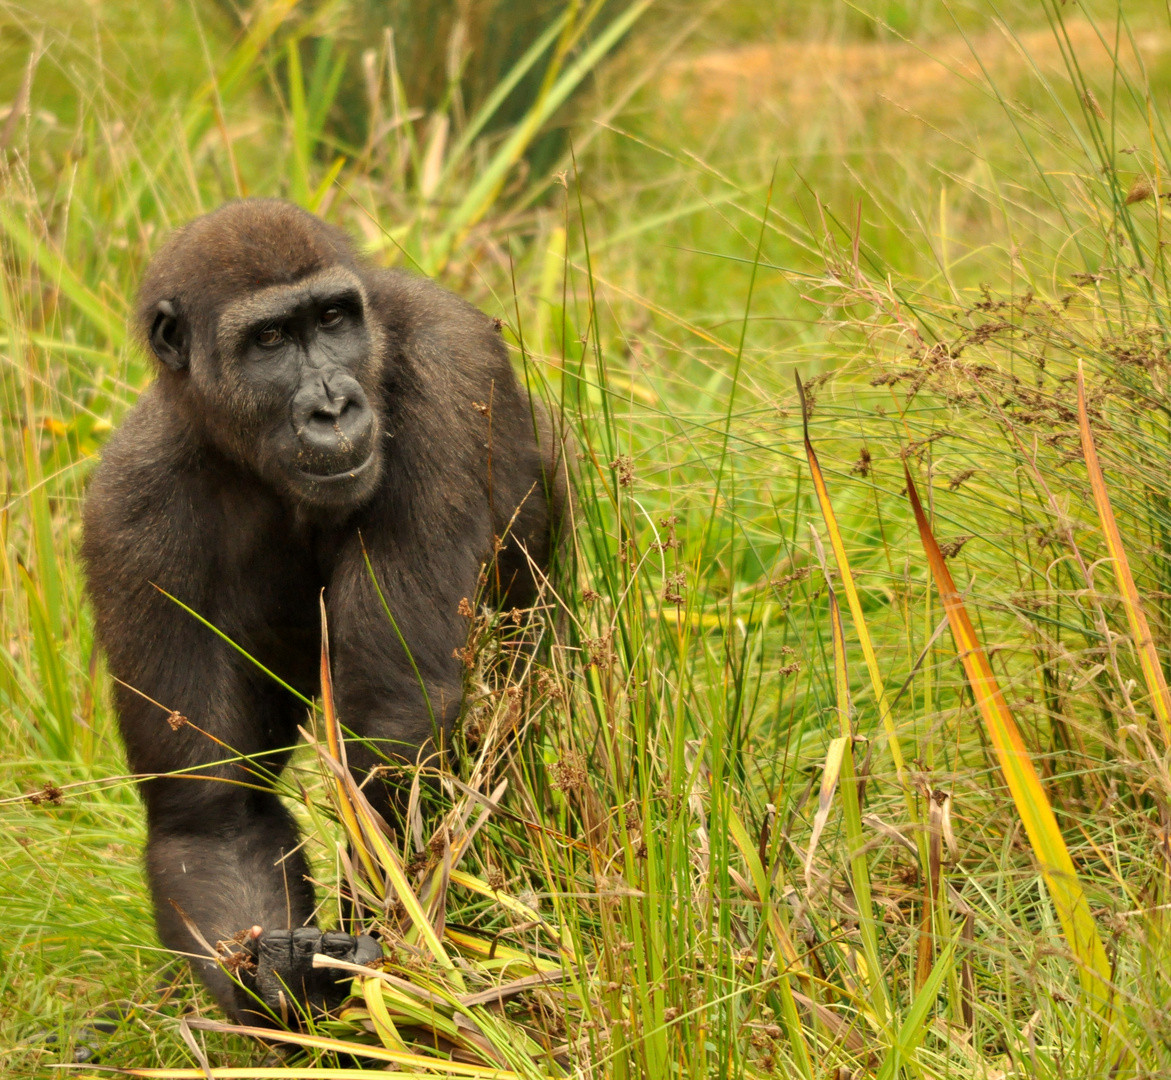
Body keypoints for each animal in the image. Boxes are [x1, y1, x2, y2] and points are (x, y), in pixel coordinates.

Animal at [81, 197, 562, 1021]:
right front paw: (287, 987)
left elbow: (396, 725)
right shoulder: (128, 513)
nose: (333, 407)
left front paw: (389, 967)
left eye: (333, 319)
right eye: (270, 340)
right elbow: (212, 820)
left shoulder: (448, 363)